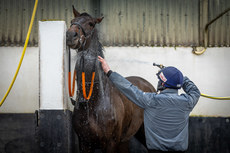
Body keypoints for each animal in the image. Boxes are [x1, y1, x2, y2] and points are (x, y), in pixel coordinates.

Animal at [66, 5, 156, 153]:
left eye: (91, 24)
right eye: (72, 21)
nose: (70, 36)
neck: (93, 101)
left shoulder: (111, 143)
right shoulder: (84, 144)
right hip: (125, 140)